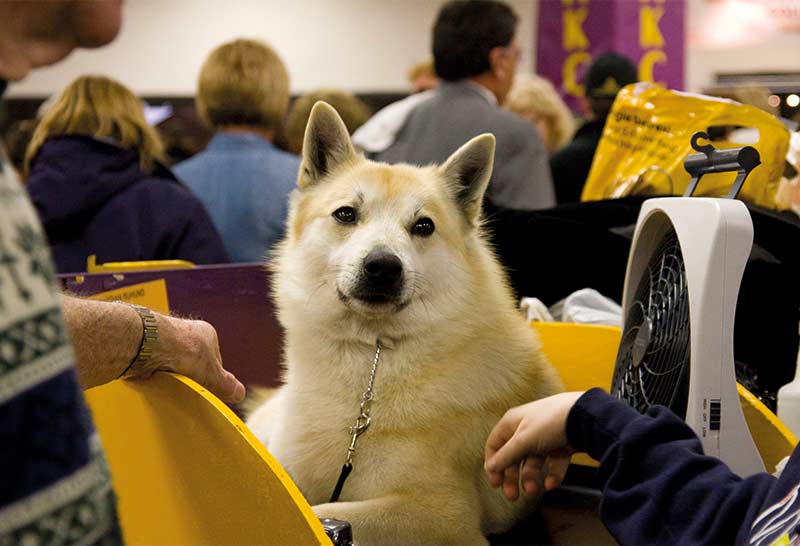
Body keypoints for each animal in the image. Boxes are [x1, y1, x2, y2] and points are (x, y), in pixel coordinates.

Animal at [247, 103, 564, 544]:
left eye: (423, 226)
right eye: (346, 214)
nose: (382, 267)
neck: (372, 360)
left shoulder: (442, 515)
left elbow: (321, 511)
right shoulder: (284, 468)